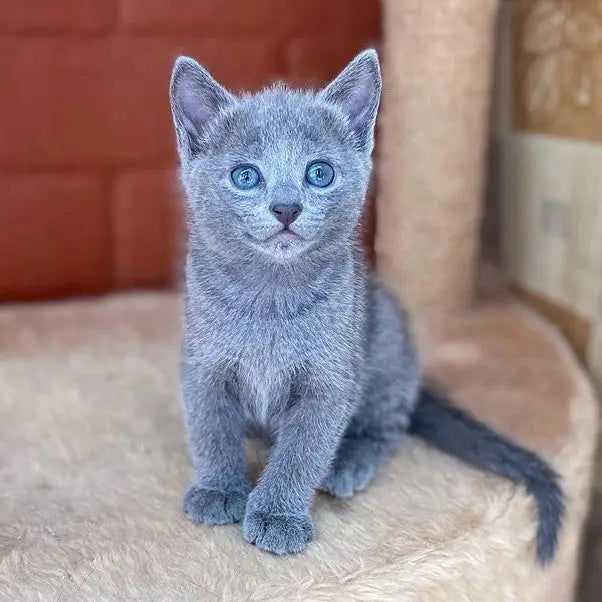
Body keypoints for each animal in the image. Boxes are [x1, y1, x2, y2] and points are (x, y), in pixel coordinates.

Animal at [170, 50, 564, 564]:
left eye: (319, 173)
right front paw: (218, 489)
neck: (270, 297)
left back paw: (347, 464)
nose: (286, 208)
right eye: (245, 176)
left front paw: (277, 515)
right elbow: (211, 428)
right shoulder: (204, 364)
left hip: (386, 346)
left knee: (387, 427)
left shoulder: (331, 380)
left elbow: (303, 449)